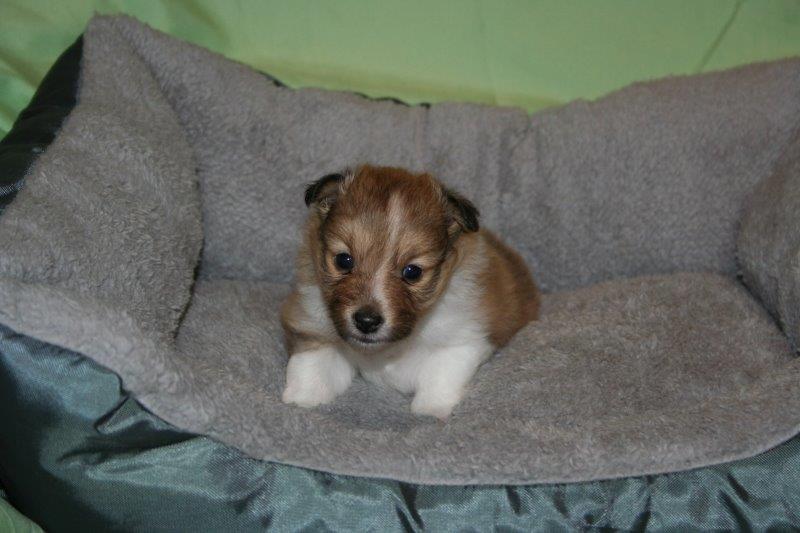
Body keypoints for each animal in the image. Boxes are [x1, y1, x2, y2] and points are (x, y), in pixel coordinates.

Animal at [281, 165, 539, 419]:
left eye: (412, 272)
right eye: (343, 260)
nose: (366, 321)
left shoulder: (463, 339)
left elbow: (441, 371)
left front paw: (431, 408)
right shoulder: (313, 327)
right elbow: (312, 362)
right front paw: (304, 396)